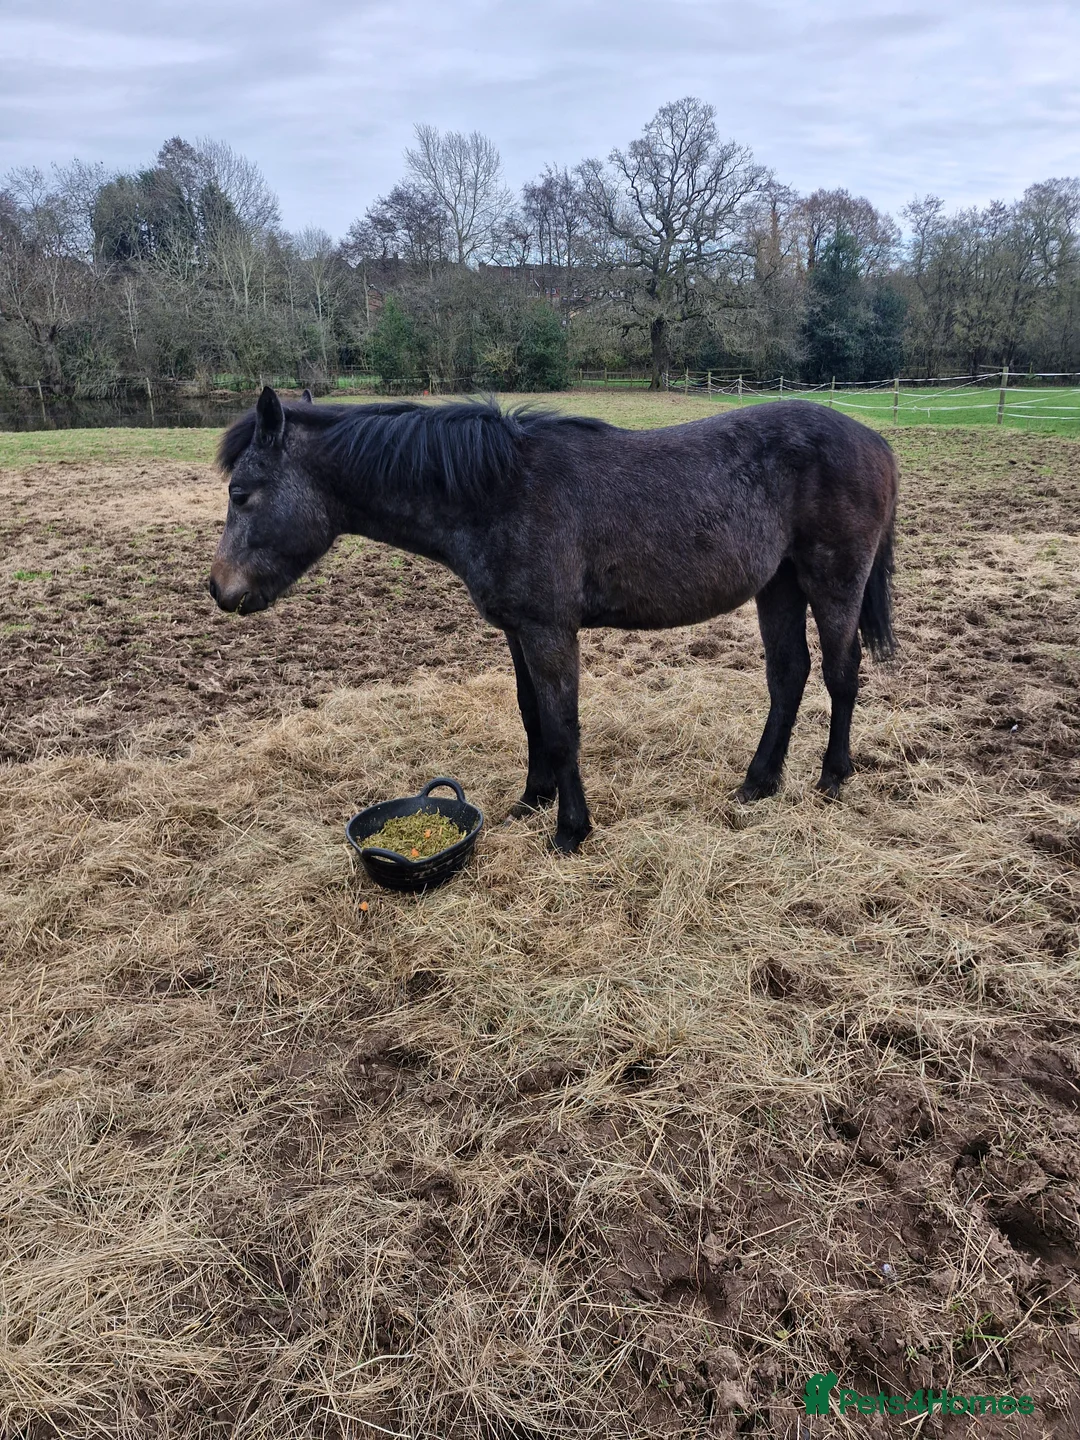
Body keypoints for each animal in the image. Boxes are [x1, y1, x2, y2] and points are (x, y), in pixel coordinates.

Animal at [209, 388, 897, 852]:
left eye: (242, 493)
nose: (219, 590)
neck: (499, 490)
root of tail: (874, 440)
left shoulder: (549, 630)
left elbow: (563, 726)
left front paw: (570, 831)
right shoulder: (518, 629)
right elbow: (531, 712)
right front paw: (531, 799)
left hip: (831, 582)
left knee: (840, 675)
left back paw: (832, 778)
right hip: (778, 585)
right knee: (788, 677)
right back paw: (759, 782)